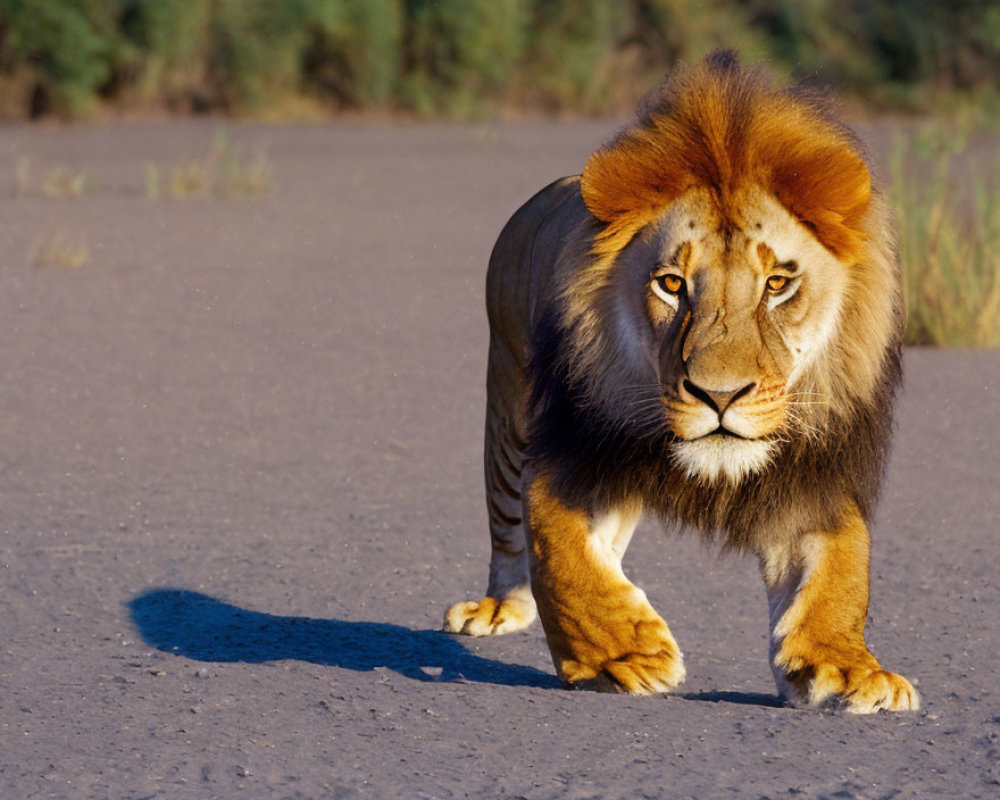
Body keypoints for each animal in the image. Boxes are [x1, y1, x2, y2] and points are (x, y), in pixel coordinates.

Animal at [442, 51, 916, 712]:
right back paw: (496, 609)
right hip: (507, 407)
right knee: (508, 530)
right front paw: (623, 657)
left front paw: (849, 670)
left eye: (777, 284)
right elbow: (562, 557)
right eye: (671, 284)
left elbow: (840, 574)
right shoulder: (573, 447)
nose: (719, 396)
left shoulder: (810, 476)